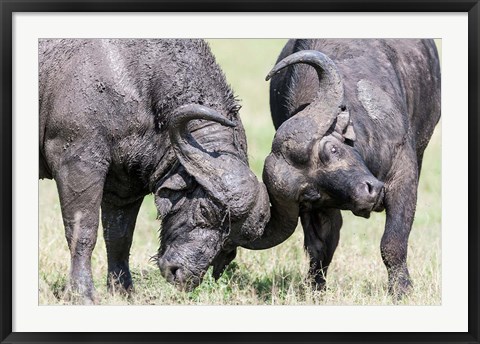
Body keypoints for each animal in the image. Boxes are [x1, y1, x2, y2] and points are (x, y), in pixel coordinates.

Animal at [38, 38, 270, 300]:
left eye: (230, 242)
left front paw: (124, 291)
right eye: (205, 210)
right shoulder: (78, 164)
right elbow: (83, 232)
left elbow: (119, 237)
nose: (182, 275)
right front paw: (83, 293)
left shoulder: (124, 188)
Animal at [246, 38, 440, 298]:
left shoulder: (403, 174)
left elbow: (392, 241)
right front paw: (316, 288)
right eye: (311, 194)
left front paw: (401, 290)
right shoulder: (318, 210)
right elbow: (320, 247)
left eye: (332, 149)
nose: (368, 194)